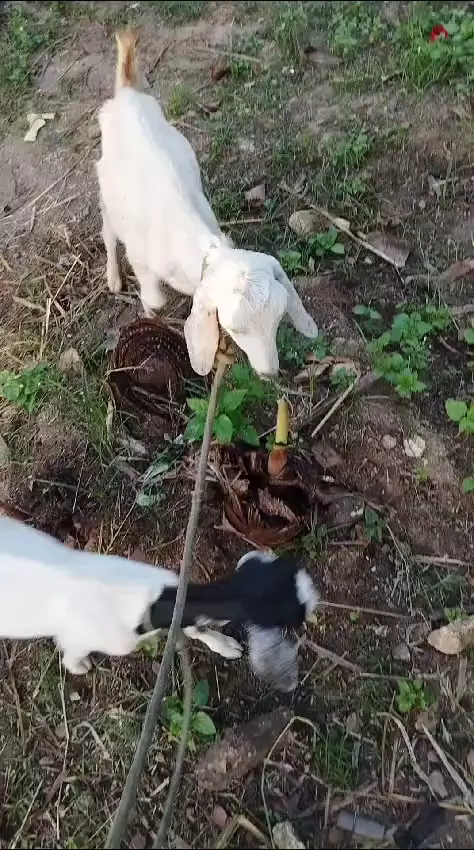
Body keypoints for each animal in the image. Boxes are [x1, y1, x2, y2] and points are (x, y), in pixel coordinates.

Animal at [0, 517, 319, 691]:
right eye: (297, 612)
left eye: (293, 568)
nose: (317, 593)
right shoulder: (81, 639)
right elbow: (71, 657)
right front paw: (80, 667)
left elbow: (196, 628)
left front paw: (226, 645)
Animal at [96, 31, 318, 378]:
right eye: (235, 327)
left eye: (280, 317)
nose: (270, 372)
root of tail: (127, 94)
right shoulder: (142, 260)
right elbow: (154, 301)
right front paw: (151, 317)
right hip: (105, 186)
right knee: (107, 229)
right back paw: (114, 277)